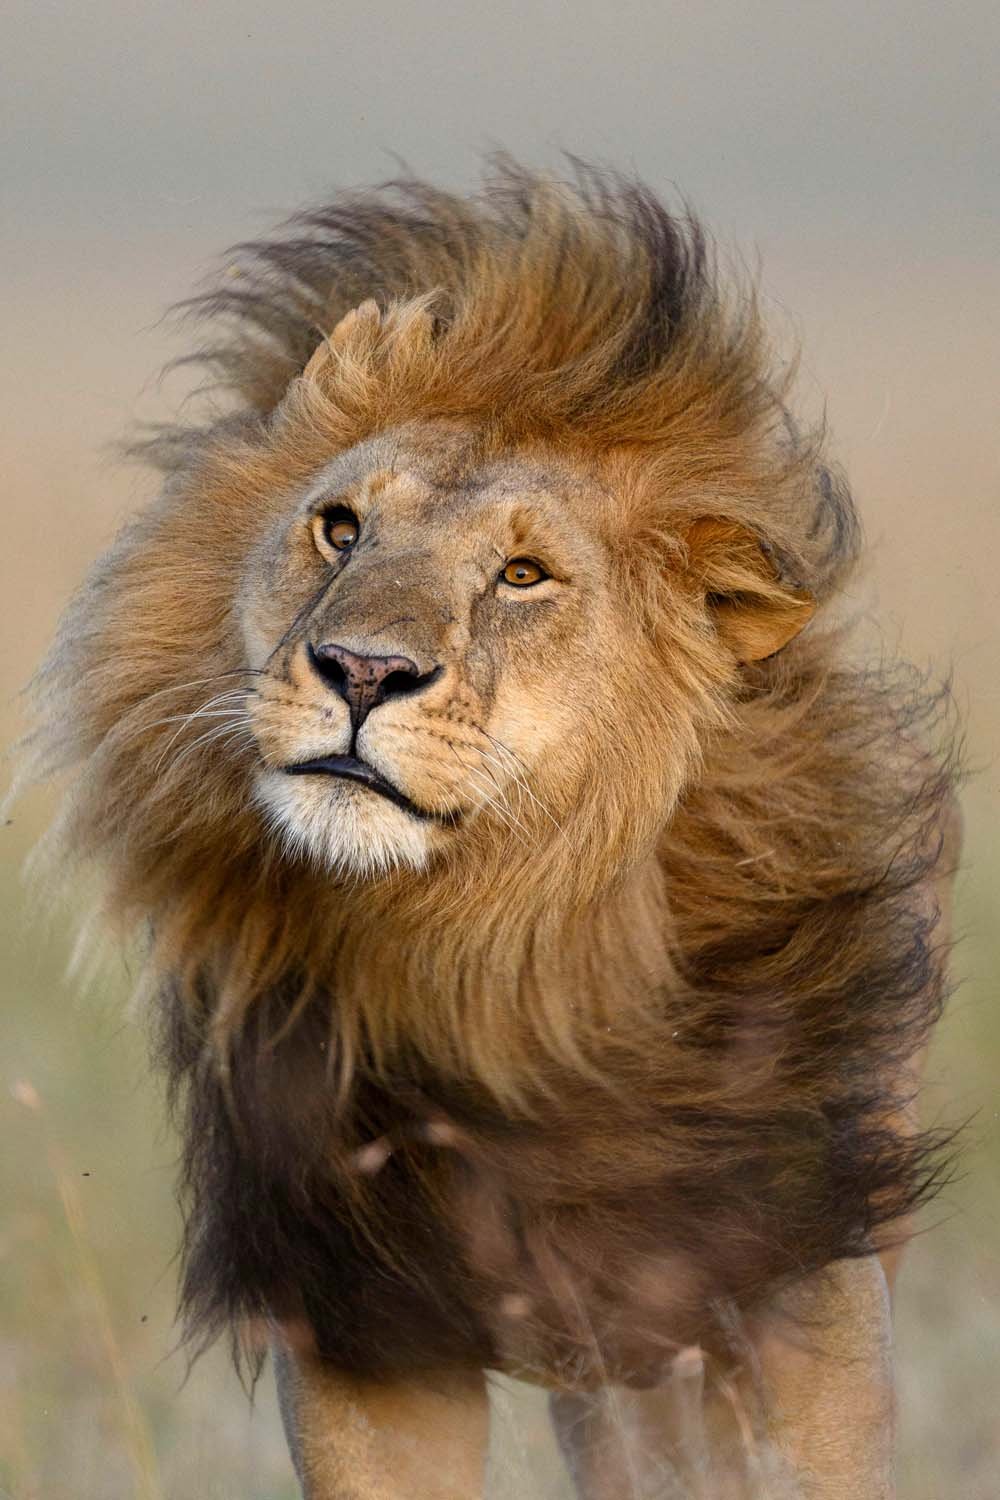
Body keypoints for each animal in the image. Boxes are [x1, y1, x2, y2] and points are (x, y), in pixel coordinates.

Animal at [23, 158, 960, 1498]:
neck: (489, 952)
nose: (362, 669)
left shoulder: (796, 1275)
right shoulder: (364, 1327)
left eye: (522, 576)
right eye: (340, 526)